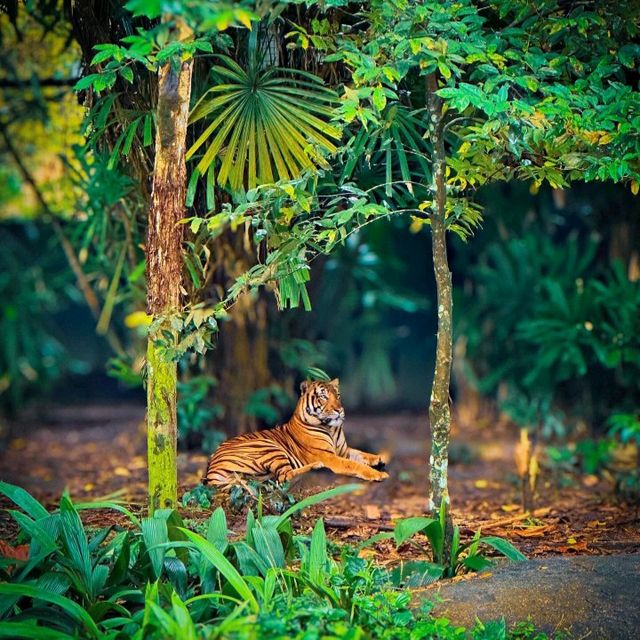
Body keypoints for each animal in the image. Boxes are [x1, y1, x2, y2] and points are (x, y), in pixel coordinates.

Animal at [202, 380, 388, 484]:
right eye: (323, 396)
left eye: (338, 395)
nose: (339, 410)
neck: (332, 428)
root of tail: (212, 469)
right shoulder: (329, 456)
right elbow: (354, 464)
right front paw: (378, 474)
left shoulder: (343, 451)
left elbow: (360, 453)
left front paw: (378, 459)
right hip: (268, 447)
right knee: (284, 476)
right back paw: (315, 466)